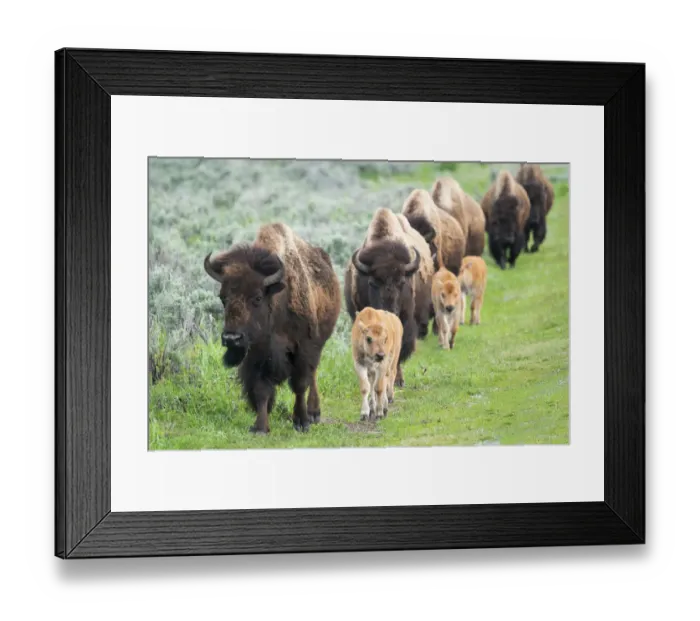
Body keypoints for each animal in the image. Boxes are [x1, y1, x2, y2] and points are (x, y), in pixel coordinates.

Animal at [204, 222, 341, 435]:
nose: (231, 338)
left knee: (313, 375)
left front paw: (301, 422)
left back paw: (313, 413)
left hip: (318, 344)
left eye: (258, 297)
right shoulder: (257, 355)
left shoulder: (303, 349)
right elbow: (261, 390)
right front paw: (260, 427)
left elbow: (300, 385)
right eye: (223, 297)